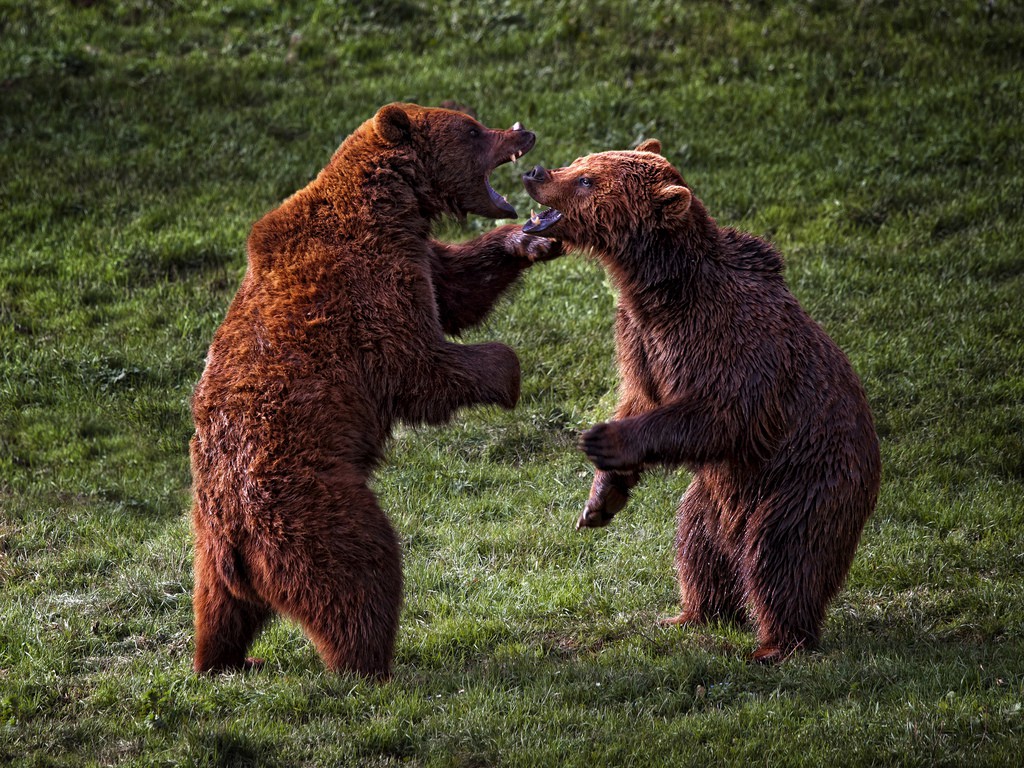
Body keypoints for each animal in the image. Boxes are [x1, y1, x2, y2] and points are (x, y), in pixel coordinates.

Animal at [191, 102, 561, 679]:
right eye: (472, 129)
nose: (524, 131)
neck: (393, 205)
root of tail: (233, 537)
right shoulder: (366, 286)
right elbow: (418, 365)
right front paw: (507, 371)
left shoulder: (417, 254)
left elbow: (457, 287)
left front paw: (531, 237)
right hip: (308, 510)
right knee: (361, 572)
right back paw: (369, 665)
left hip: (208, 554)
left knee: (218, 612)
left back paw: (226, 660)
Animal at [524, 143, 884, 663]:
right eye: (579, 162)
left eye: (587, 179)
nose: (535, 171)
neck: (660, 290)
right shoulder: (638, 338)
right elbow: (639, 395)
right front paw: (598, 502)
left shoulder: (726, 336)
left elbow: (725, 412)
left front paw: (604, 440)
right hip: (712, 499)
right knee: (697, 545)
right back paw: (691, 613)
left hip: (804, 482)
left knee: (782, 555)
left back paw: (776, 644)